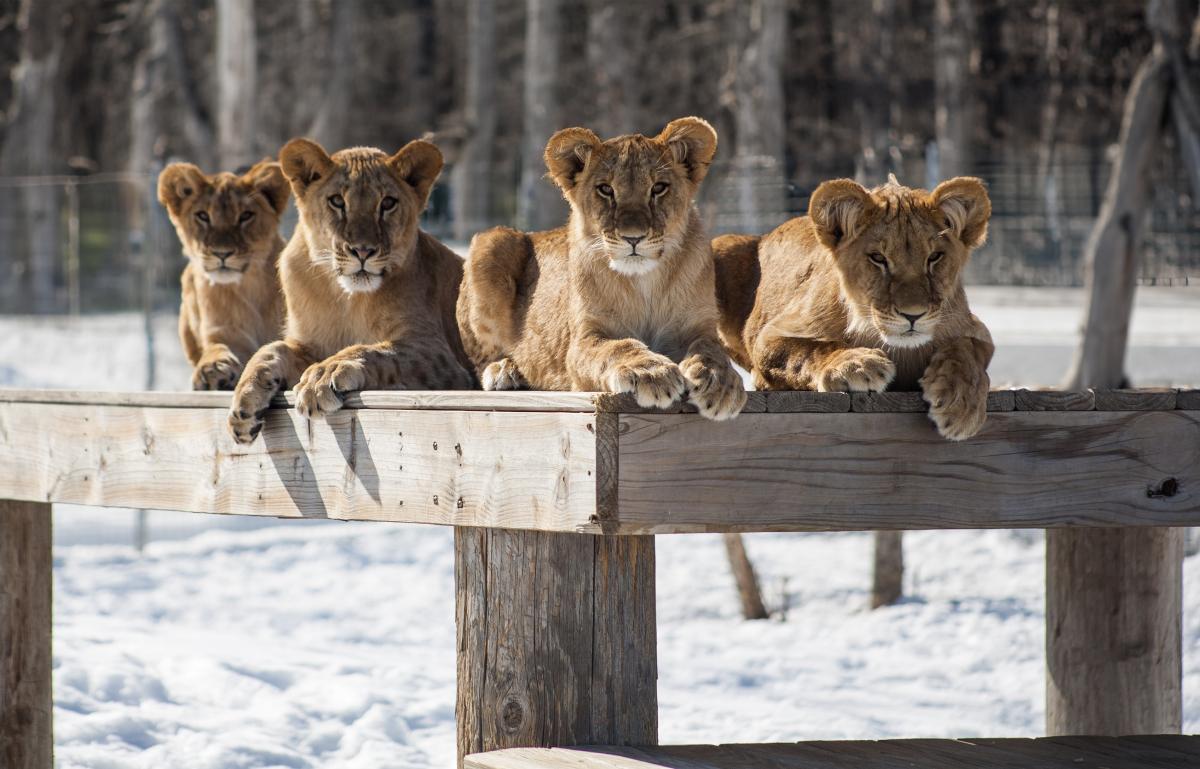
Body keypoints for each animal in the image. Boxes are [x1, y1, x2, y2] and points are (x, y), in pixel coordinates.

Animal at [158, 160, 289, 390]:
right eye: (203, 216)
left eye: (245, 215)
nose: (222, 253)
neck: (250, 289)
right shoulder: (223, 332)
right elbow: (216, 347)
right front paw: (213, 370)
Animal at [228, 138, 475, 444]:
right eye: (337, 201)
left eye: (388, 203)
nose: (363, 251)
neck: (346, 299)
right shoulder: (308, 344)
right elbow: (270, 350)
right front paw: (243, 406)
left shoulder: (440, 355)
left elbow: (373, 350)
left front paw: (321, 377)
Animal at [457, 116, 746, 421]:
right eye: (606, 189)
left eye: (658, 188)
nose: (633, 237)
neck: (645, 282)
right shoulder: (582, 341)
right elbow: (616, 347)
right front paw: (650, 373)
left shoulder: (701, 327)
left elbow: (710, 350)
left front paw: (719, 383)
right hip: (492, 242)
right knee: (480, 359)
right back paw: (505, 371)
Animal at [713, 175, 994, 440]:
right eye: (878, 258)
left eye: (934, 257)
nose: (912, 315)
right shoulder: (771, 334)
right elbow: (808, 349)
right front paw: (857, 364)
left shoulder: (976, 329)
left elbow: (967, 348)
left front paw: (960, 402)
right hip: (720, 245)